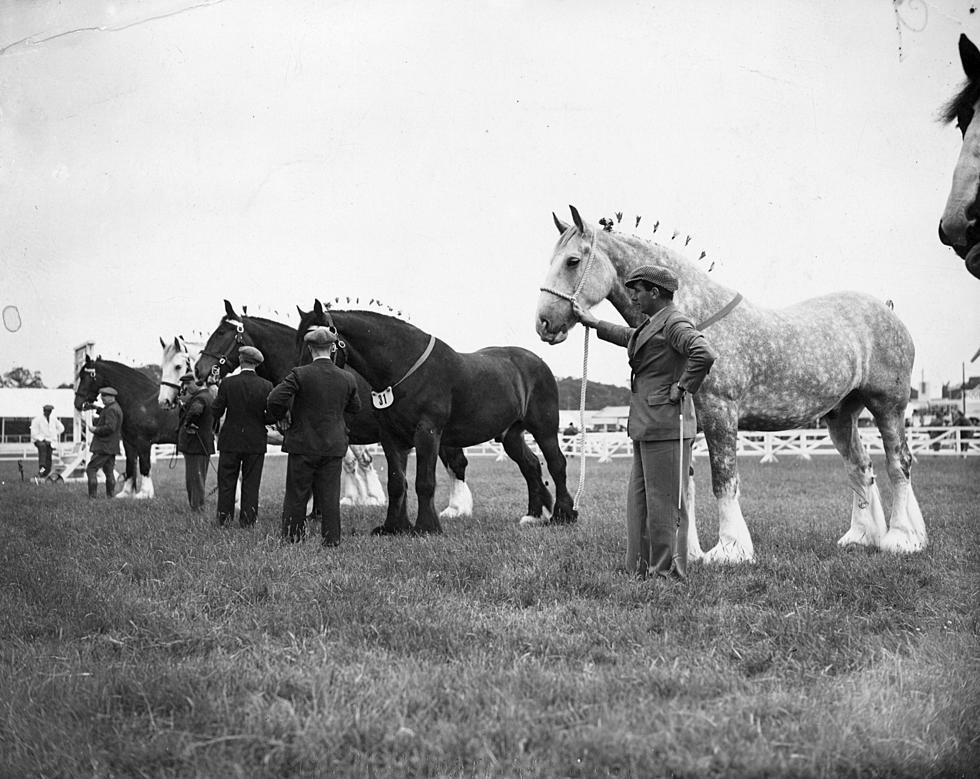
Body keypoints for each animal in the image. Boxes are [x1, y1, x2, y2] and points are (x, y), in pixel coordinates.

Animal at [75, 354, 179, 496]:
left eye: (87, 377)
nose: (77, 403)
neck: (140, 400)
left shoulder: (143, 442)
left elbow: (145, 466)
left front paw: (144, 493)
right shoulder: (128, 442)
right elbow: (130, 465)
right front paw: (126, 492)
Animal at [294, 300, 580, 536]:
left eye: (316, 344)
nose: (299, 382)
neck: (402, 367)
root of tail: (537, 362)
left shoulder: (427, 433)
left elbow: (424, 482)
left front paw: (426, 527)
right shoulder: (391, 437)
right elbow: (396, 482)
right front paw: (393, 527)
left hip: (545, 428)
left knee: (557, 464)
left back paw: (563, 515)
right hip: (511, 435)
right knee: (530, 465)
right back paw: (533, 515)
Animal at [536, 204, 928, 564]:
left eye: (572, 261)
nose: (543, 323)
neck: (695, 316)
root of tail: (887, 310)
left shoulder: (720, 414)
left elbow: (723, 479)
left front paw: (729, 550)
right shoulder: (688, 420)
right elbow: (685, 483)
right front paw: (689, 552)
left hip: (888, 406)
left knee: (899, 463)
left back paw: (901, 539)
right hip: (841, 415)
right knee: (860, 467)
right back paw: (861, 537)